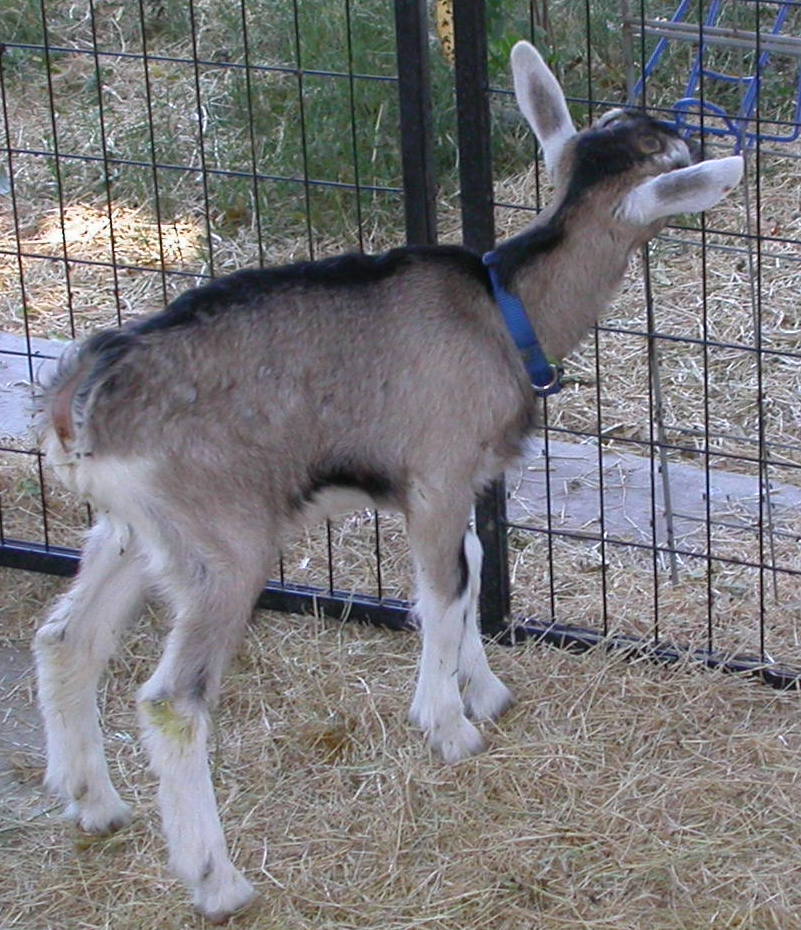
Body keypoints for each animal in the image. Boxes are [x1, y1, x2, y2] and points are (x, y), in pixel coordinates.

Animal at [33, 41, 743, 922]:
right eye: (674, 156)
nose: (697, 133)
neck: (502, 308)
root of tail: (86, 396)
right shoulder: (435, 477)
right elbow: (443, 595)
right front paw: (448, 726)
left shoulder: (459, 484)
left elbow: (469, 573)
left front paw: (483, 691)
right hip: (224, 547)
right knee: (173, 701)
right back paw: (216, 881)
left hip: (138, 531)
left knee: (68, 638)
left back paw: (94, 803)